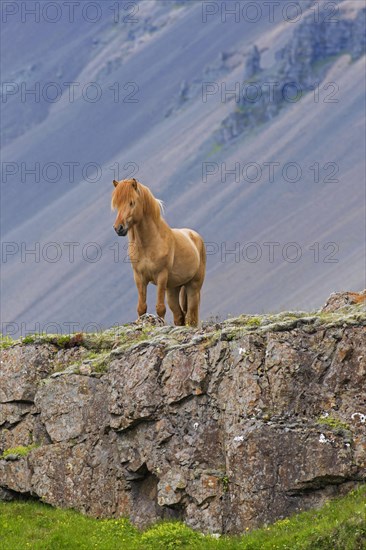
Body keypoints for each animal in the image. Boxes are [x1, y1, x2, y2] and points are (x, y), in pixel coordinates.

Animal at [111, 179, 206, 328]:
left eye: (132, 202)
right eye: (116, 204)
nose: (118, 228)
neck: (149, 244)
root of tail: (194, 235)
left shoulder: (161, 276)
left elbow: (160, 308)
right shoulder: (139, 278)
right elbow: (141, 307)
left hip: (193, 286)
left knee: (191, 316)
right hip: (173, 289)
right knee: (179, 315)